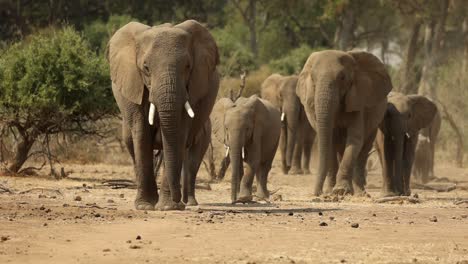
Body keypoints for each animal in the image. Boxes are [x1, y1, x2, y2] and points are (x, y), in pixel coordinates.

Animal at [108, 20, 219, 210]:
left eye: (188, 67)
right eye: (146, 68)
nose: (178, 202)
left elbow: (178, 135)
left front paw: (168, 207)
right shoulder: (134, 87)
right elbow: (142, 134)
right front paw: (145, 206)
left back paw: (186, 202)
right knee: (132, 145)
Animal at [296, 50, 392, 196]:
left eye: (342, 77)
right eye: (312, 78)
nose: (318, 193)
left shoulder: (357, 99)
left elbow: (354, 140)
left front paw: (340, 191)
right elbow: (330, 142)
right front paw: (331, 191)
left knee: (363, 150)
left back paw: (359, 192)